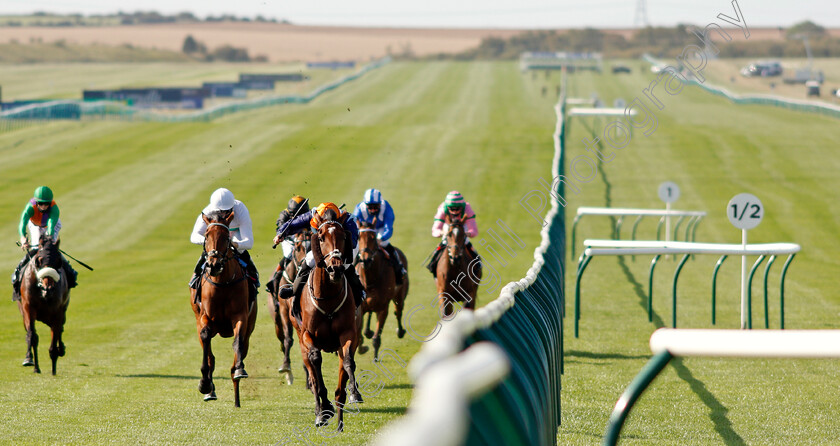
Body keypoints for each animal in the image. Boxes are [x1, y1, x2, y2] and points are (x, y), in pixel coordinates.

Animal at [17, 237, 69, 376]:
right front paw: (34, 365)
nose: (48, 288)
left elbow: (55, 337)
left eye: (58, 261)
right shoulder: (28, 308)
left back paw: (61, 350)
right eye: (38, 260)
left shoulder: (57, 312)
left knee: (60, 329)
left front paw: (54, 370)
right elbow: (32, 337)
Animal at [190, 211, 256, 406]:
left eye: (227, 237)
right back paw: (210, 391)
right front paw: (204, 384)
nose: (214, 264)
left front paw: (240, 370)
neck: (223, 283)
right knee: (209, 354)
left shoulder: (241, 316)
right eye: (206, 235)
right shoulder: (205, 317)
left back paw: (237, 398)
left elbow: (238, 342)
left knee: (241, 349)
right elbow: (206, 344)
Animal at [266, 232, 308, 386]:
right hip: (277, 320)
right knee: (282, 338)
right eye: (298, 247)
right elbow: (288, 339)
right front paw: (286, 367)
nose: (304, 265)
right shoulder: (284, 310)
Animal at [296, 211, 360, 430]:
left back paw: (340, 422)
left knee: (340, 383)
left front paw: (354, 392)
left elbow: (348, 361)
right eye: (321, 237)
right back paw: (320, 412)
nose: (336, 269)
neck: (328, 297)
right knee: (312, 371)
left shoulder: (348, 334)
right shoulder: (307, 335)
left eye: (343, 236)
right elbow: (316, 360)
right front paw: (323, 408)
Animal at [356, 221, 408, 360]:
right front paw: (362, 347)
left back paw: (400, 331)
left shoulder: (383, 307)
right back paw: (368, 331)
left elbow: (377, 337)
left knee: (398, 312)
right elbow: (358, 335)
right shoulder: (360, 306)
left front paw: (375, 357)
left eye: (373, 238)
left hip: (400, 294)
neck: (370, 279)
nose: (365, 259)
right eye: (358, 238)